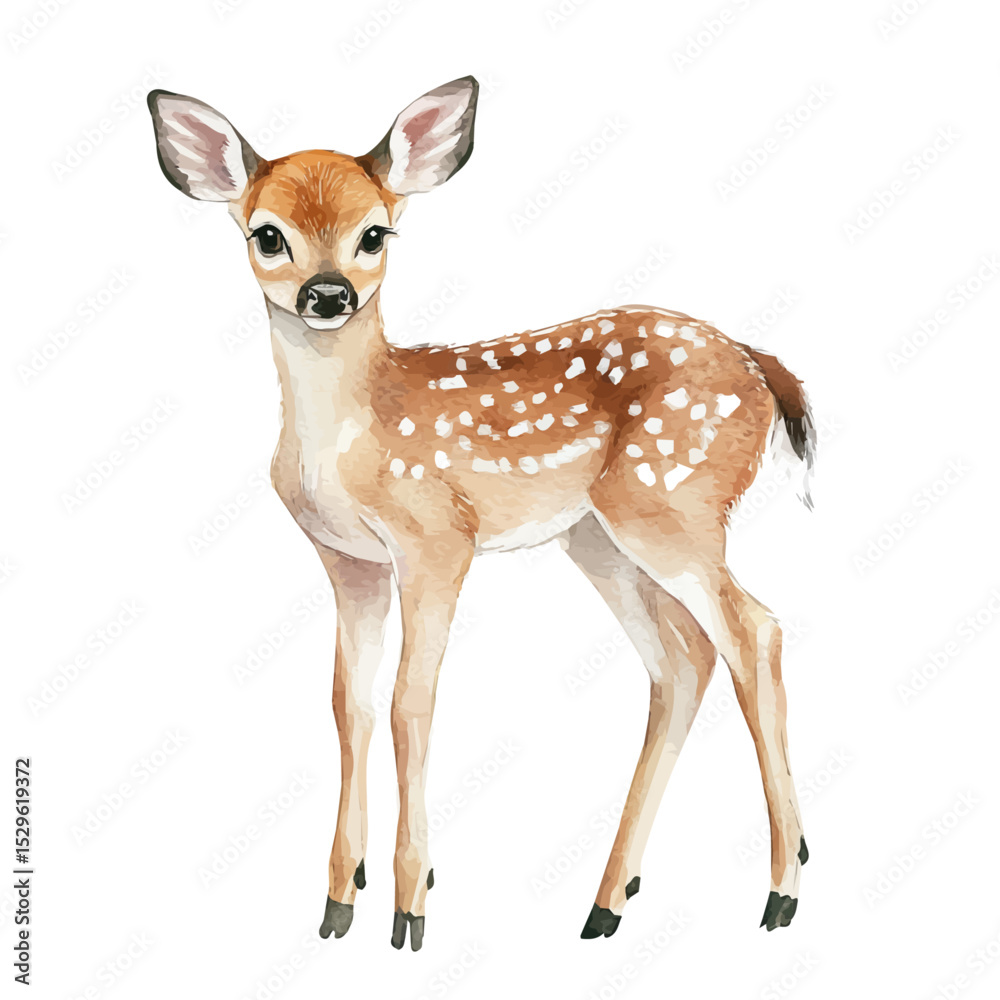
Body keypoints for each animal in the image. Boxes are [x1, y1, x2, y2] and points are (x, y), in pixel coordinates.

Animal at [147, 76, 814, 952]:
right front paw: (338, 900)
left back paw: (781, 891)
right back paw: (608, 902)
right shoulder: (348, 561)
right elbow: (348, 703)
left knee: (755, 630)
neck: (352, 437)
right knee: (683, 661)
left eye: (374, 234)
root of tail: (761, 367)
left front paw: (411, 905)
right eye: (267, 234)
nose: (328, 295)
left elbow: (411, 701)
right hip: (602, 539)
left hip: (674, 502)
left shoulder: (438, 539)